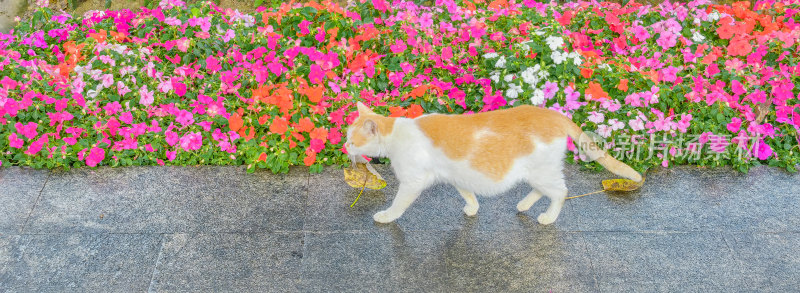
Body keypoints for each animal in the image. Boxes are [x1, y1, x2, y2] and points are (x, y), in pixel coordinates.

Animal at [346, 101, 644, 225]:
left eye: (352, 140)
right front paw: (472, 208)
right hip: (537, 172)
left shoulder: (412, 182)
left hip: (541, 171)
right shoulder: (456, 174)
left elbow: (398, 204)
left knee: (561, 192)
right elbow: (467, 193)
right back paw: (524, 204)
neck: (395, 133)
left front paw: (387, 216)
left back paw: (548, 217)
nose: (344, 146)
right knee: (544, 189)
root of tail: (554, 114)